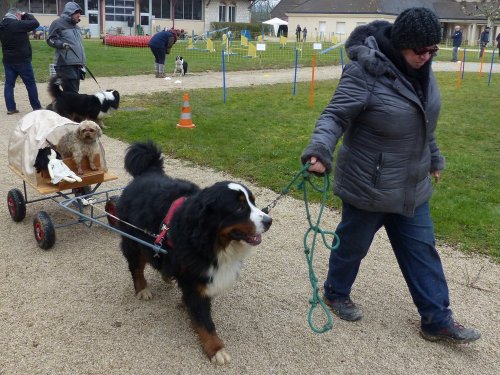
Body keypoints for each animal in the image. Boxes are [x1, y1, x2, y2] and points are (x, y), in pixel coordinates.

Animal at [116, 141, 274, 364]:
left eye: (253, 201)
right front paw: (216, 349)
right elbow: (204, 320)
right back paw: (142, 289)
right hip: (133, 241)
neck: (211, 241)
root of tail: (148, 172)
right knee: (136, 267)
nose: (269, 221)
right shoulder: (195, 278)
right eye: (238, 207)